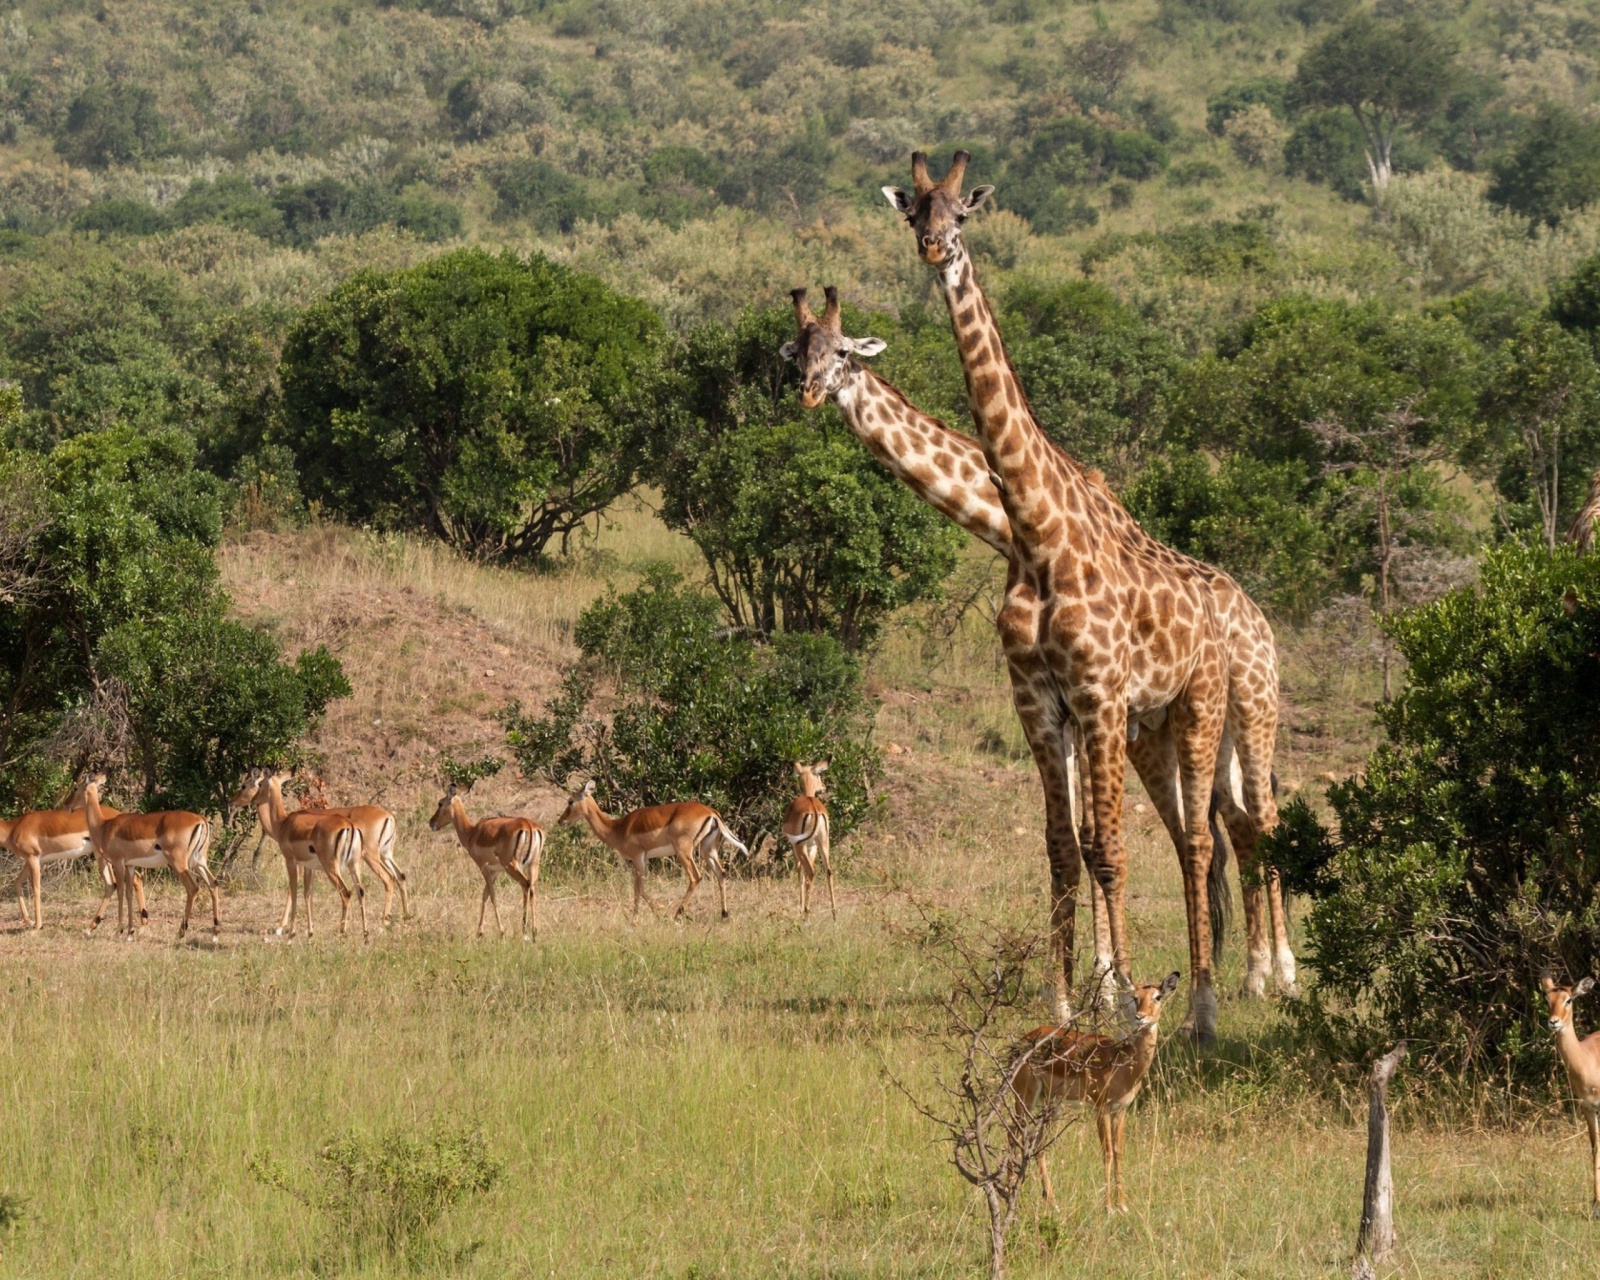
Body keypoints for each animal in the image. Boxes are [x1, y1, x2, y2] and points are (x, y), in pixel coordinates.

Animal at [780, 284, 1292, 1024]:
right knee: (1231, 830)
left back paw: (1278, 975)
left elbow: (1095, 840)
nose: (811, 394)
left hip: (1252, 709)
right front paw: (1100, 984)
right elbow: (1082, 838)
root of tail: (1258, 616)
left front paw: (1107, 987)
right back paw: (1247, 974)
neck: (1008, 524)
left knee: (1264, 819)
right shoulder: (1075, 713)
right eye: (796, 355)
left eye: (843, 352)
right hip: (1174, 736)